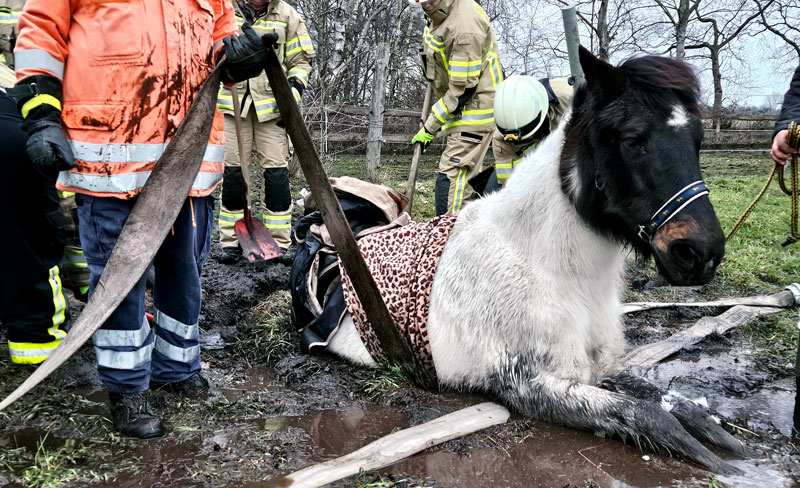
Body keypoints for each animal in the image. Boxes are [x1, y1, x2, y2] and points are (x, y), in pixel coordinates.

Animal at [324, 48, 736, 472]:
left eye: (698, 140)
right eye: (633, 139)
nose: (700, 253)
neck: (545, 268)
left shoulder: (600, 367)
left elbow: (675, 403)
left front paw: (724, 439)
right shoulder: (525, 384)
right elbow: (645, 414)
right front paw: (717, 459)